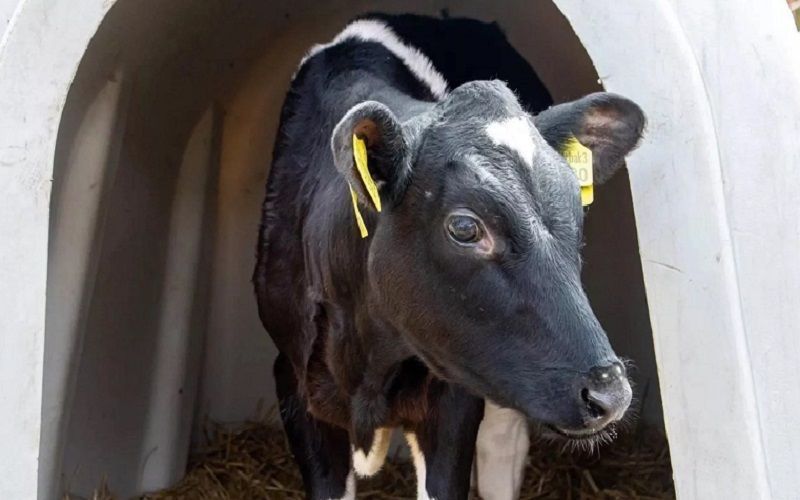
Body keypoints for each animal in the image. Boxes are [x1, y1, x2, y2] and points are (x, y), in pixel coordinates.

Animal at [253, 13, 645, 500]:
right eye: (464, 228)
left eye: (578, 209)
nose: (610, 394)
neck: (368, 363)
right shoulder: (293, 381)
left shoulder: (452, 402)